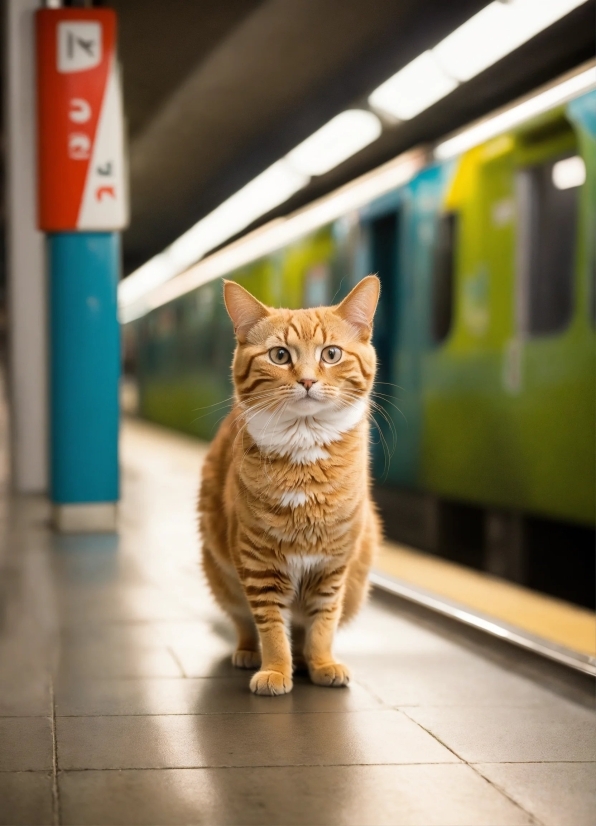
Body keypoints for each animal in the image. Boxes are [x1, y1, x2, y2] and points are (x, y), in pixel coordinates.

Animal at [198, 274, 380, 692]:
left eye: (331, 354)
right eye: (280, 356)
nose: (308, 380)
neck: (304, 448)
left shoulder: (333, 566)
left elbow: (322, 624)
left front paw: (322, 662)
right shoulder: (259, 564)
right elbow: (270, 627)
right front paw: (277, 669)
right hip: (221, 574)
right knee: (244, 623)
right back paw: (249, 653)